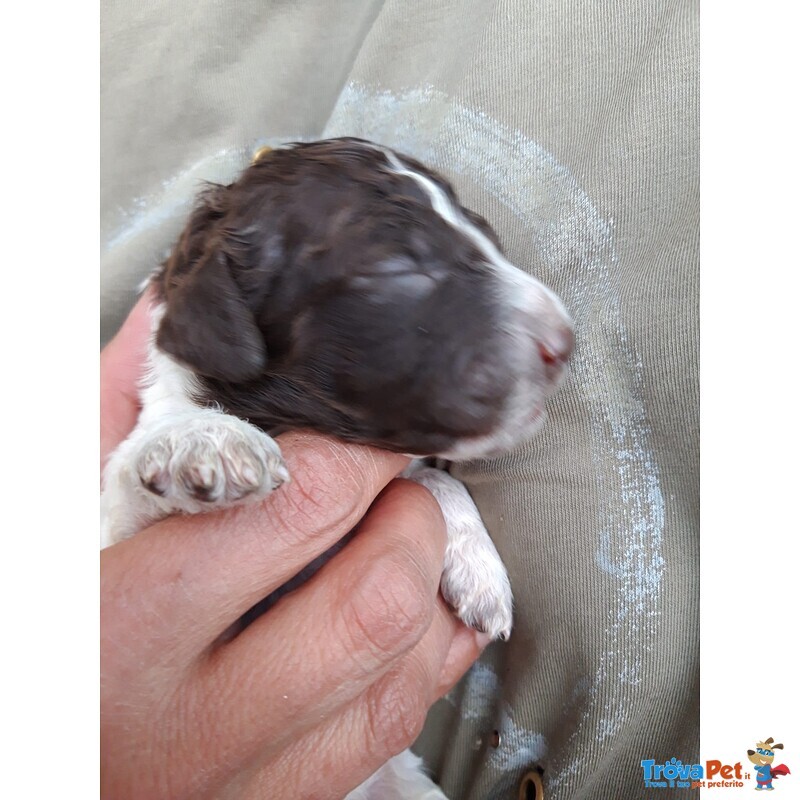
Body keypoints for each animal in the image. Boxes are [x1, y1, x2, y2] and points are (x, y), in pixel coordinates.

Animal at [101, 139, 576, 800]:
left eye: (483, 231)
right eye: (394, 267)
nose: (566, 341)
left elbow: (429, 476)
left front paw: (480, 570)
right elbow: (131, 468)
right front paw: (200, 438)